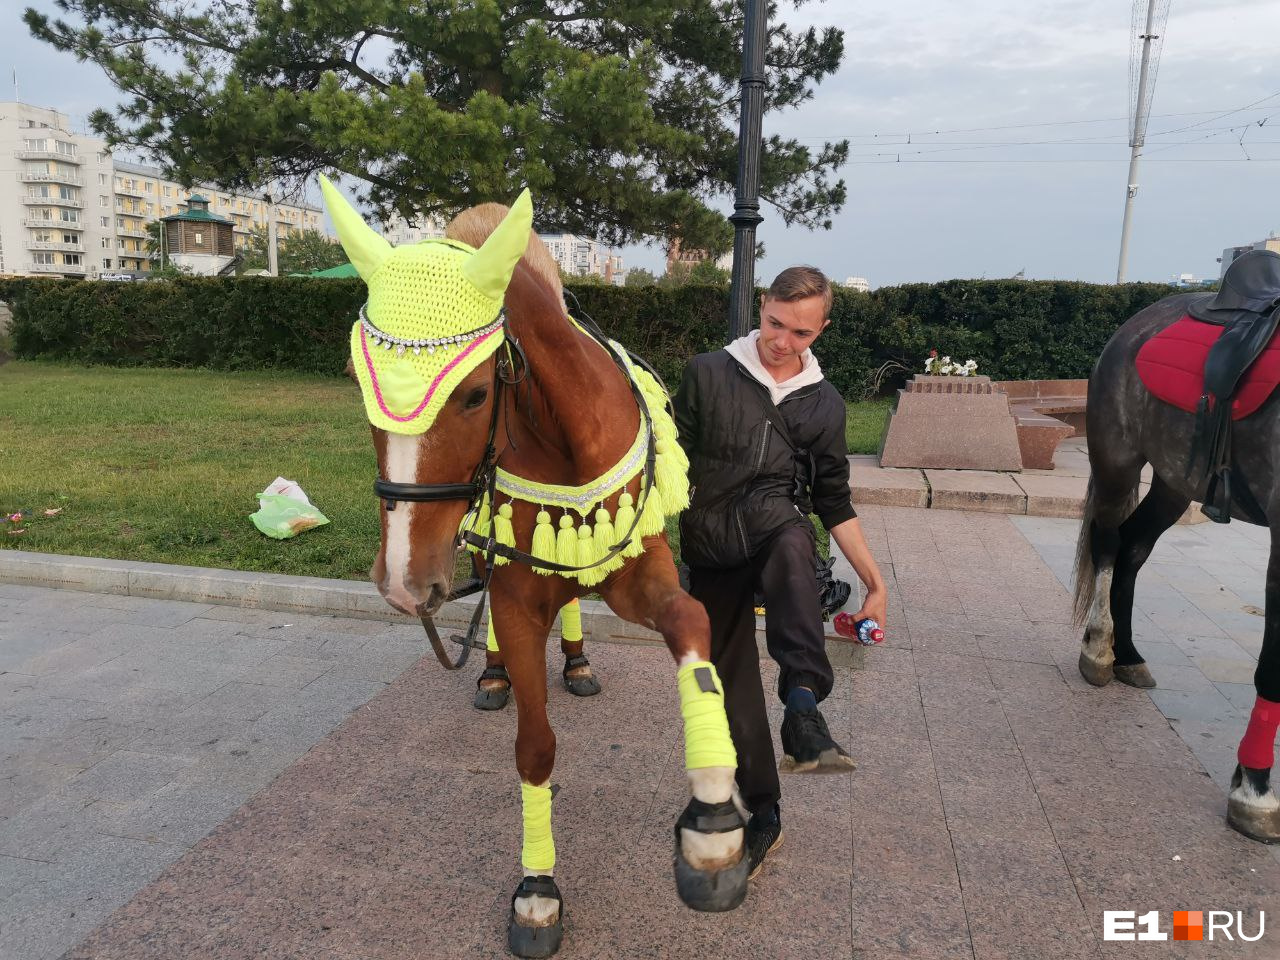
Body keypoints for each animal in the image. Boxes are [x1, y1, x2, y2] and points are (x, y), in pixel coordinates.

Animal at [322, 176, 747, 957]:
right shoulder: (516, 590)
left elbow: (691, 623)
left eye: (473, 394)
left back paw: (577, 660)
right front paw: (538, 888)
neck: (560, 431)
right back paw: (490, 672)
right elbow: (534, 746)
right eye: (357, 386)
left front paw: (712, 820)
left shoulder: (640, 571)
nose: (402, 580)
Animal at [1070, 261, 1280, 839]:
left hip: (1173, 478)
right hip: (1119, 460)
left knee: (1135, 546)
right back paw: (1099, 649)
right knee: (1109, 542)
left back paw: (1129, 655)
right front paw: (1255, 791)